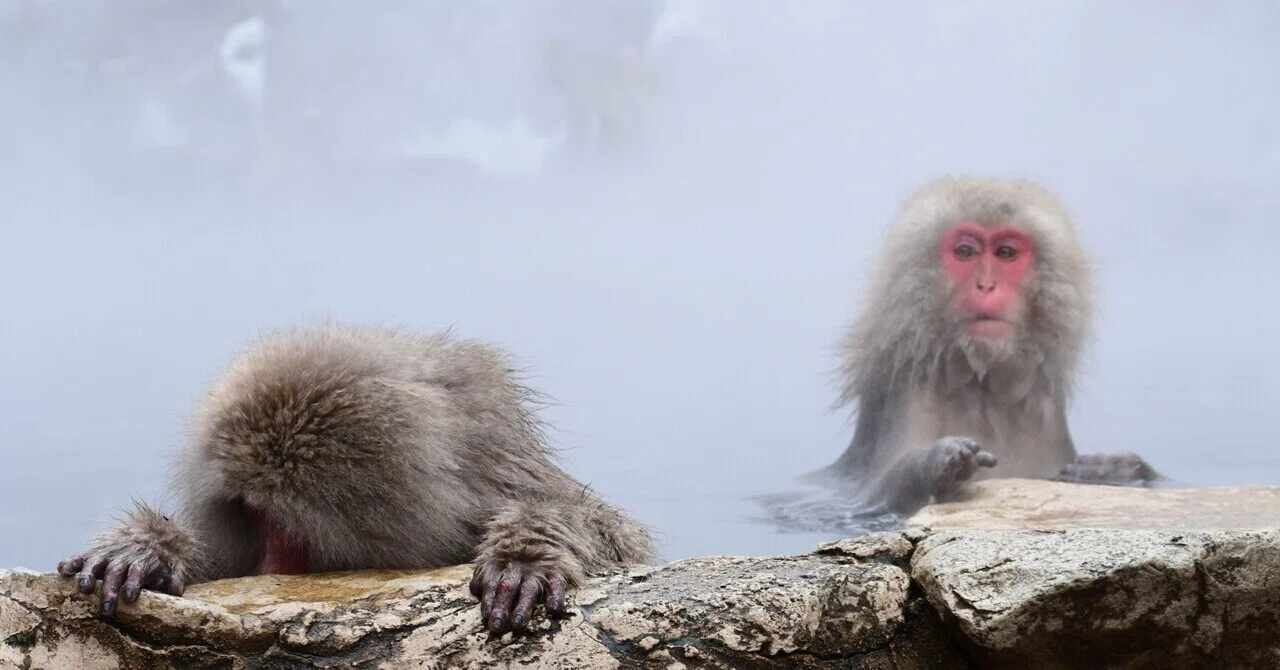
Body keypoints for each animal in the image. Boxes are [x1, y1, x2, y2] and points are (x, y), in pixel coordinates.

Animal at [56, 324, 654, 635]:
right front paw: (148, 547)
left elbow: (616, 536)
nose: (268, 564)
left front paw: (525, 554)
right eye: (250, 515)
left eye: (282, 524)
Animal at [807, 177, 1160, 516]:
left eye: (1005, 253)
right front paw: (943, 461)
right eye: (965, 252)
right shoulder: (911, 395)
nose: (986, 285)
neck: (981, 383)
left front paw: (1119, 468)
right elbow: (882, 489)